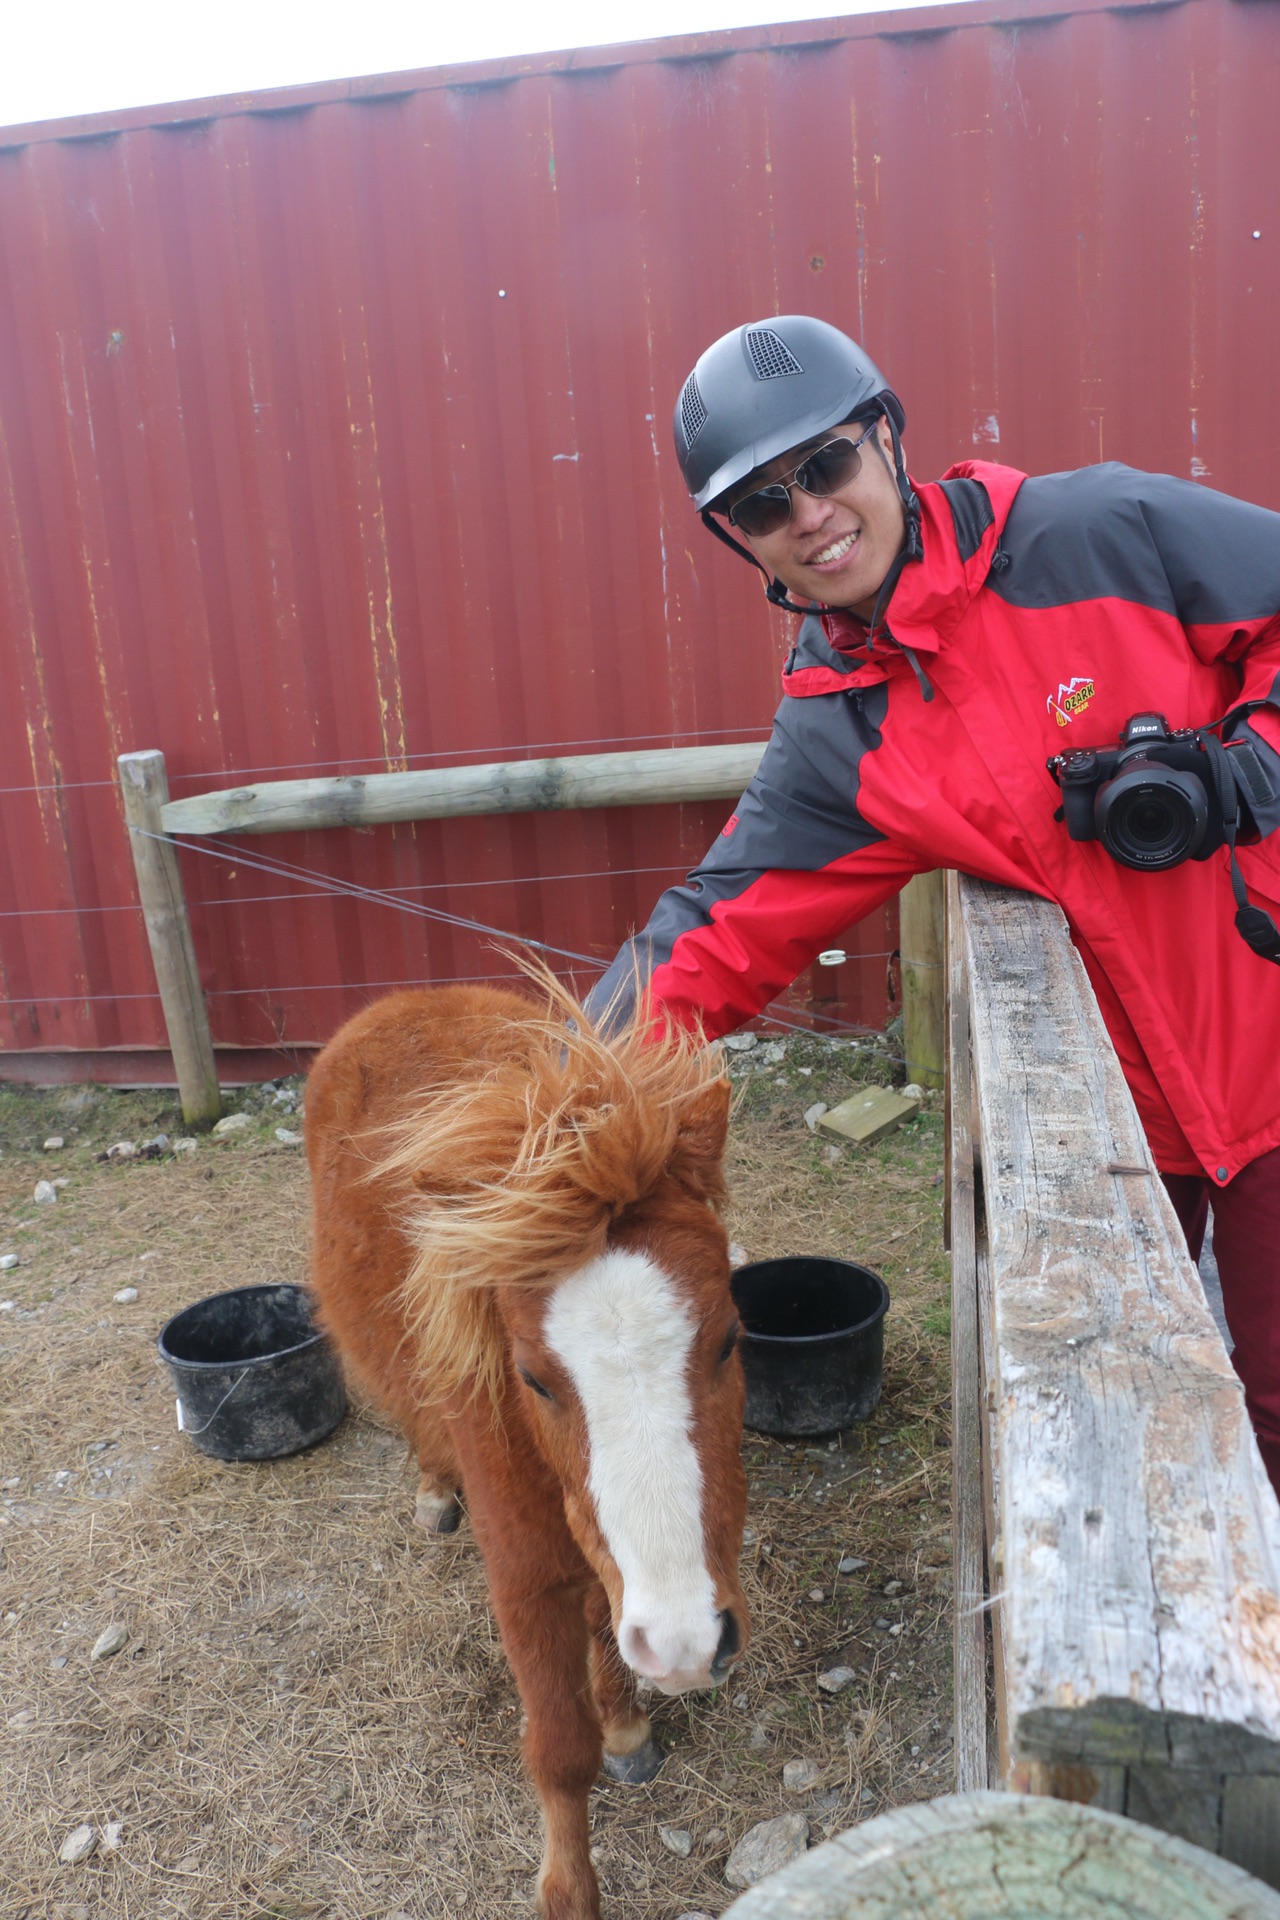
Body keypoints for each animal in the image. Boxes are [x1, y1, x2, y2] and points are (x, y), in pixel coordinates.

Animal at [307, 983, 752, 1912]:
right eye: (532, 1379)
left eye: (731, 1337)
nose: (689, 1645)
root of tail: (406, 999)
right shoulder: (520, 1577)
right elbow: (557, 1751)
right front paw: (568, 1891)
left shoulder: (598, 1565)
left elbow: (604, 1632)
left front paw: (626, 1725)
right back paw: (434, 1492)